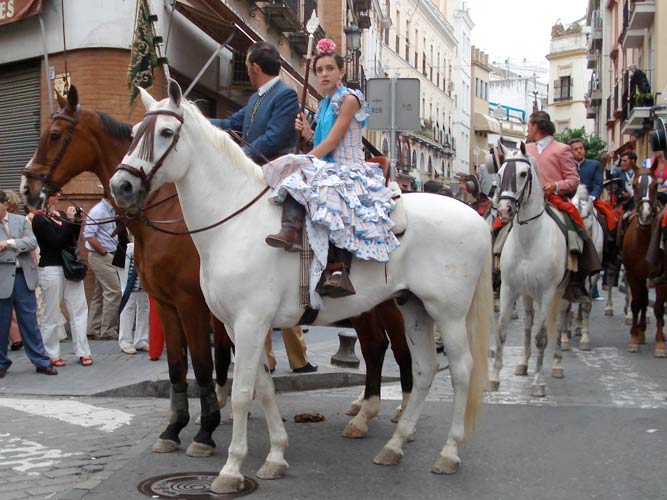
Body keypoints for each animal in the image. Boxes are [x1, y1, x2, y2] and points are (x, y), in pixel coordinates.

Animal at [22, 86, 412, 438]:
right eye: (134, 136)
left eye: (54, 135)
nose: (27, 188)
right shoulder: (169, 303)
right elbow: (184, 364)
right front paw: (183, 423)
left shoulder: (192, 303)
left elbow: (204, 362)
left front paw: (207, 424)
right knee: (376, 345)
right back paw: (367, 408)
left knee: (389, 345)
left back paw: (390, 409)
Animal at [109, 81, 494, 492]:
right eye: (135, 132)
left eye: (166, 132)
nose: (122, 185)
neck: (233, 223)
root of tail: (474, 217)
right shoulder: (234, 325)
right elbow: (262, 387)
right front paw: (276, 455)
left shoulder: (247, 322)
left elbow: (242, 392)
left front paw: (231, 468)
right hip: (414, 307)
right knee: (423, 370)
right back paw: (394, 446)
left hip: (447, 313)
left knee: (460, 370)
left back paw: (448, 452)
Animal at [494, 145, 568, 398]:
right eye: (500, 172)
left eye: (523, 173)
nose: (505, 209)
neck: (529, 241)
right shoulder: (508, 289)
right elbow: (502, 331)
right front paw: (493, 378)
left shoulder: (547, 293)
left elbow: (542, 337)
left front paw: (538, 382)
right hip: (526, 294)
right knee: (527, 324)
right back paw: (523, 363)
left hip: (563, 292)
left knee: (560, 324)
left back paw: (557, 365)